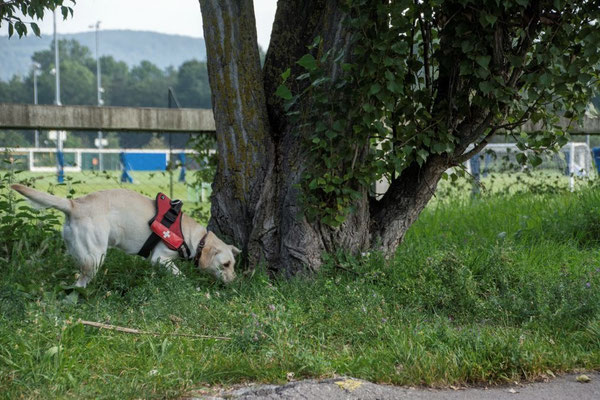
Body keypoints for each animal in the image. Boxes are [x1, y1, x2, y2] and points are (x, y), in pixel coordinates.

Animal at [9, 185, 239, 288]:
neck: (192, 236)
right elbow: (179, 274)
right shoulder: (161, 258)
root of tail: (74, 205)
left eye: (233, 264)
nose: (234, 282)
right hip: (95, 257)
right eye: (226, 264)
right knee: (80, 283)